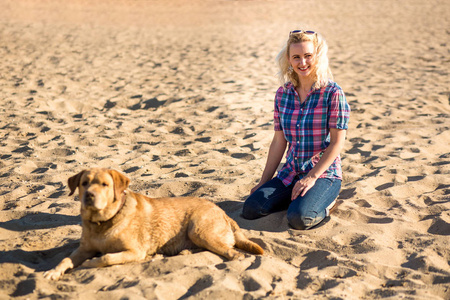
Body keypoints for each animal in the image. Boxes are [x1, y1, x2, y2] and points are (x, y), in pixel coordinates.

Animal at [43, 168, 262, 280]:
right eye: (84, 183)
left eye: (105, 185)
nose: (89, 196)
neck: (102, 222)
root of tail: (223, 212)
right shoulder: (84, 249)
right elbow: (65, 259)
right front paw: (53, 271)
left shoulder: (135, 251)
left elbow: (106, 257)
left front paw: (90, 264)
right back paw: (183, 252)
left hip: (198, 230)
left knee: (233, 253)